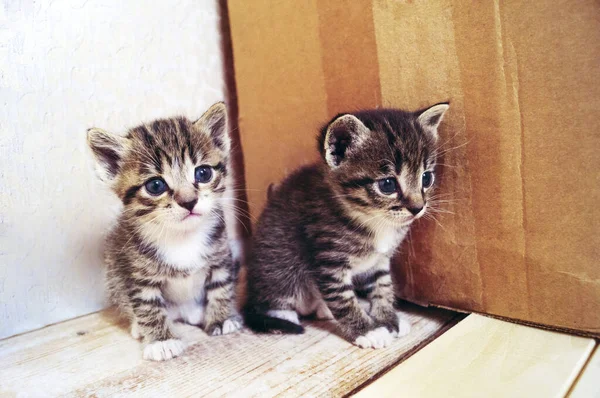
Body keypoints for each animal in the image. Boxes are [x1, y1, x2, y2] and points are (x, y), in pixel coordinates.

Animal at [87, 102, 241, 360]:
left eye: (203, 173)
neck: (182, 236)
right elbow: (148, 306)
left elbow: (222, 286)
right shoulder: (137, 273)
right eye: (155, 185)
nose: (189, 202)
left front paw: (222, 318)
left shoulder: (220, 255)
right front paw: (161, 340)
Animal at [241, 102, 448, 348]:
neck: (374, 220)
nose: (418, 208)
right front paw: (368, 330)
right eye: (387, 184)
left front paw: (389, 318)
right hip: (278, 264)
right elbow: (344, 301)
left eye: (426, 178)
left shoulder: (379, 260)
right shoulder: (328, 263)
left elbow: (383, 286)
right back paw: (284, 314)